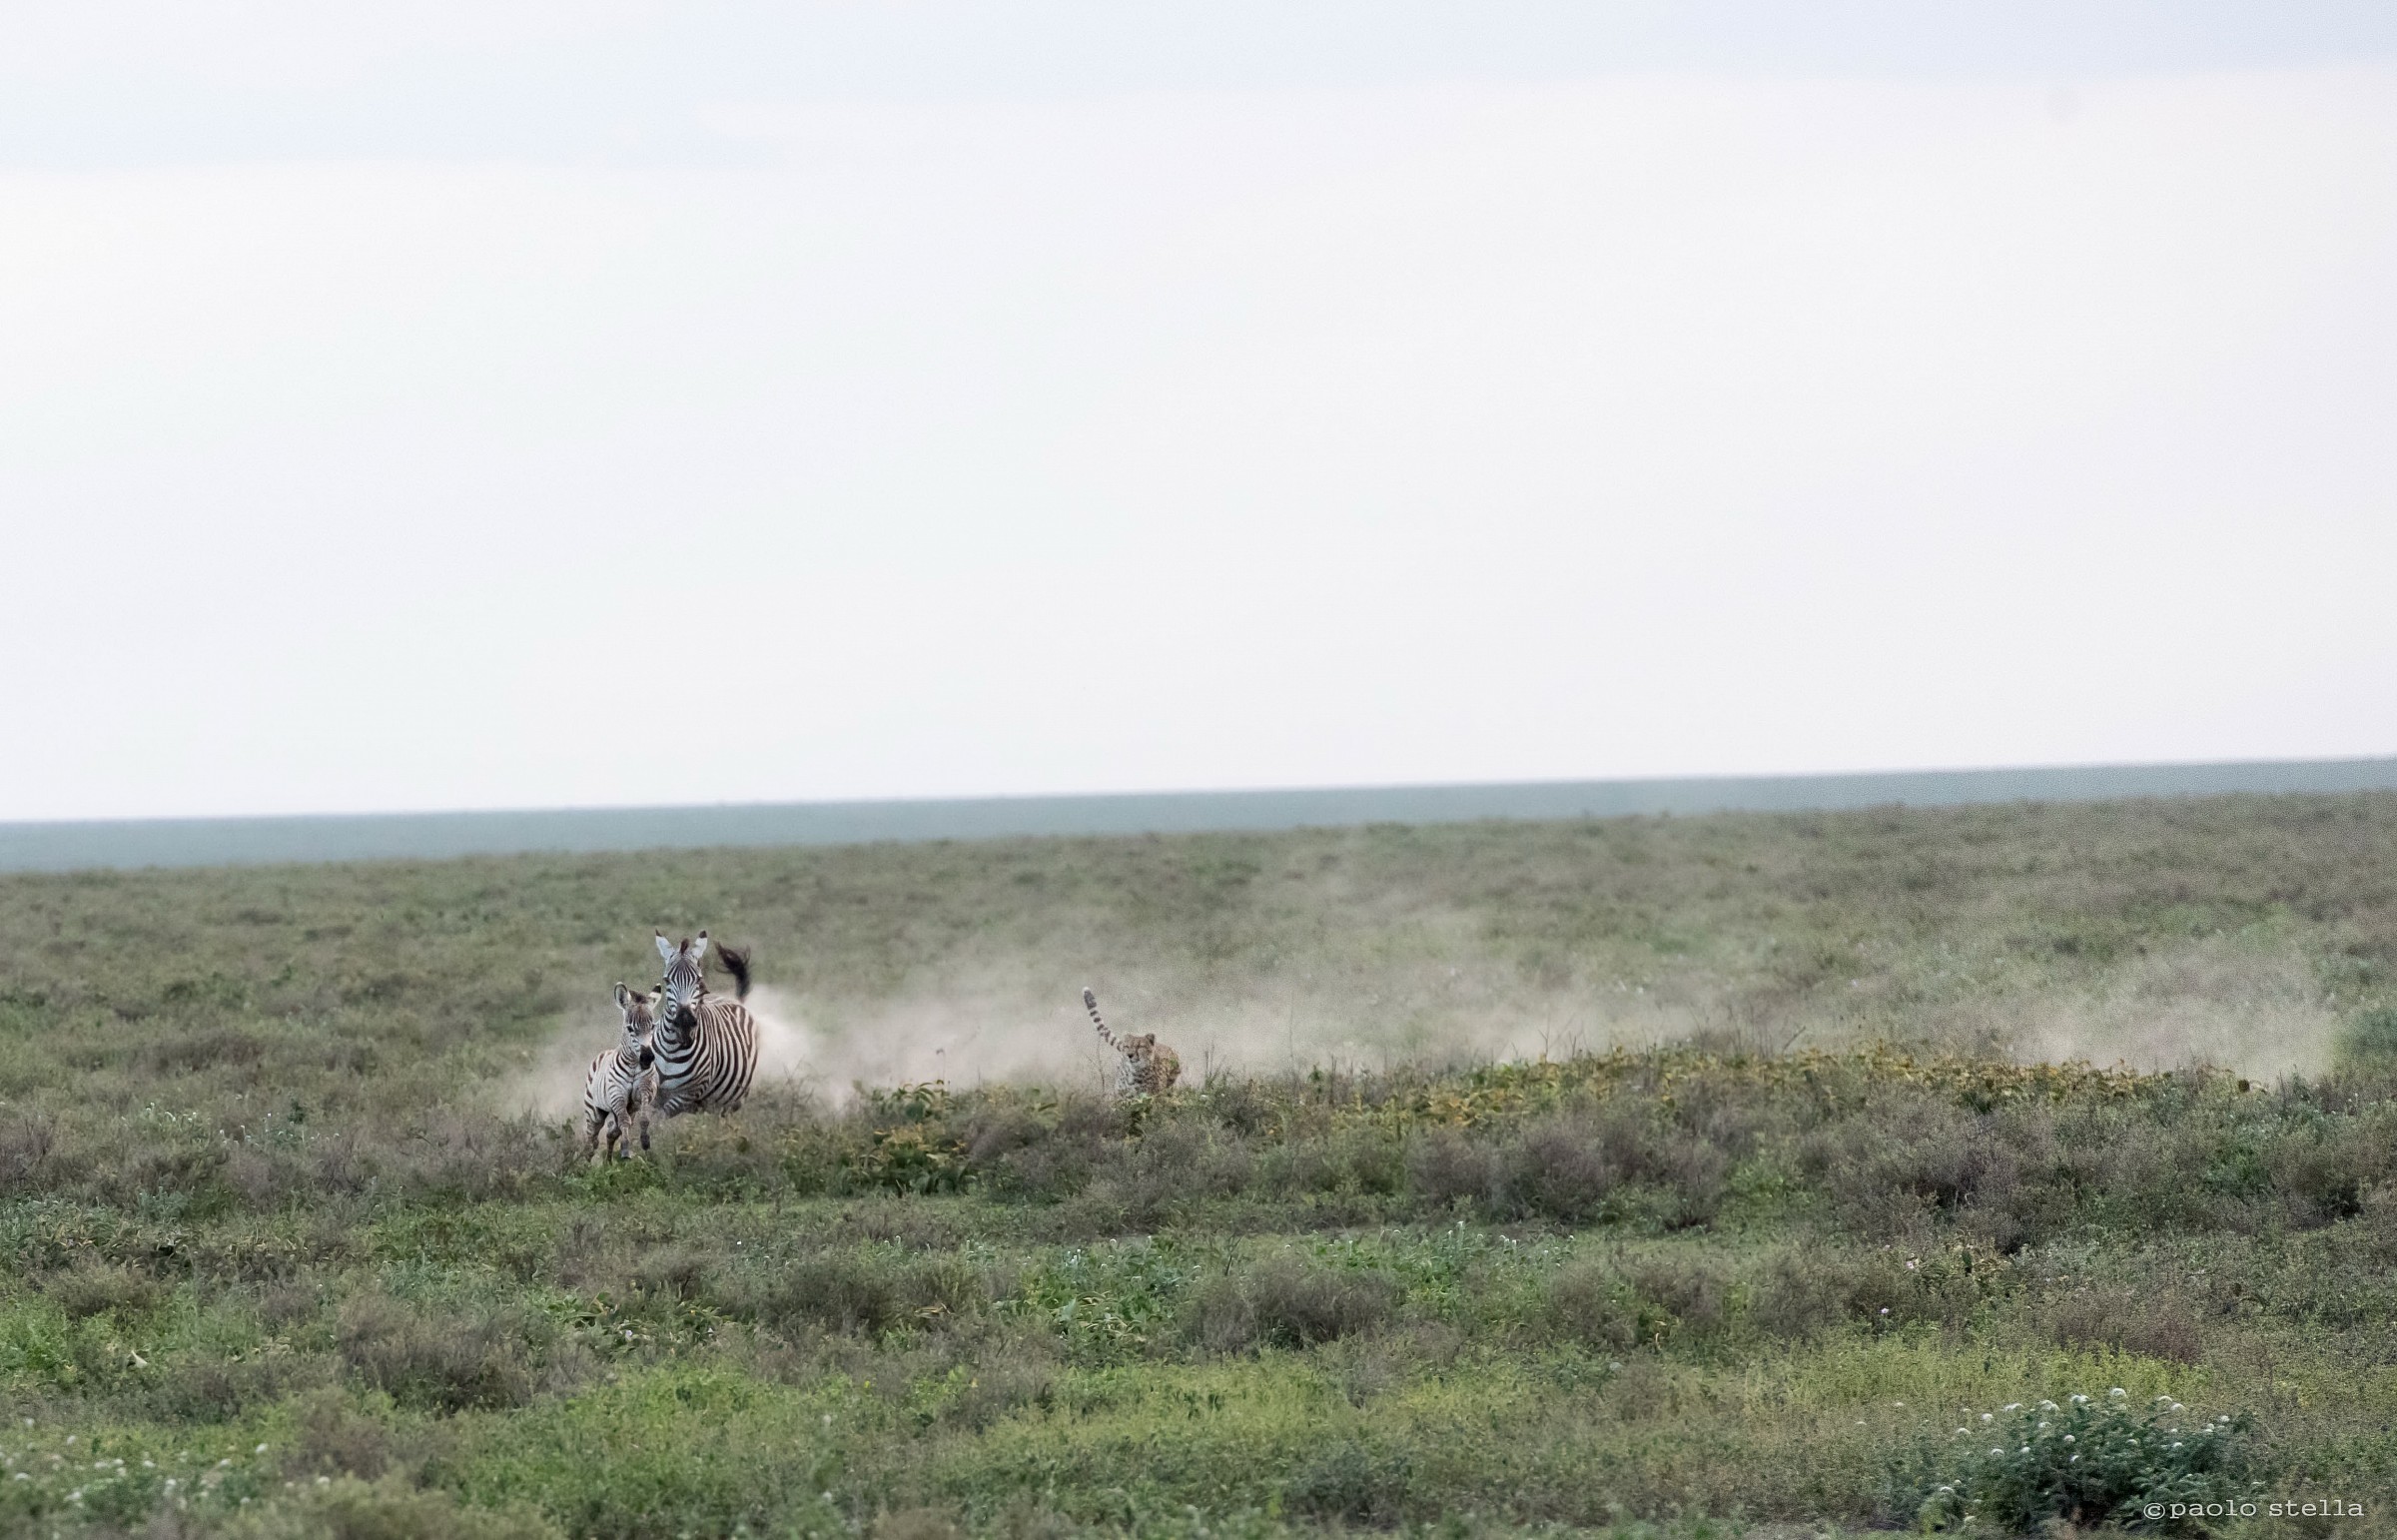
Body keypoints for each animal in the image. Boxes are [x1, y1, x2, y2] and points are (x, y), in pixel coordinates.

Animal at [582, 983, 660, 1163]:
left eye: (652, 1026)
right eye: (630, 1028)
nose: (647, 1057)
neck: (633, 1065)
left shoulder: (645, 1089)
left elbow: (643, 1118)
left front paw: (645, 1142)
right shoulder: (617, 1094)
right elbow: (625, 1122)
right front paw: (625, 1151)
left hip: (627, 1107)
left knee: (612, 1133)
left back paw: (608, 1163)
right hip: (595, 1112)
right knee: (592, 1138)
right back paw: (586, 1164)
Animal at [652, 931, 761, 1117]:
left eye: (698, 979)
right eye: (667, 980)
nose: (685, 1023)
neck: (671, 1049)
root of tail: (735, 1000)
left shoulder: (685, 1095)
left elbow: (658, 1119)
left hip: (732, 1102)